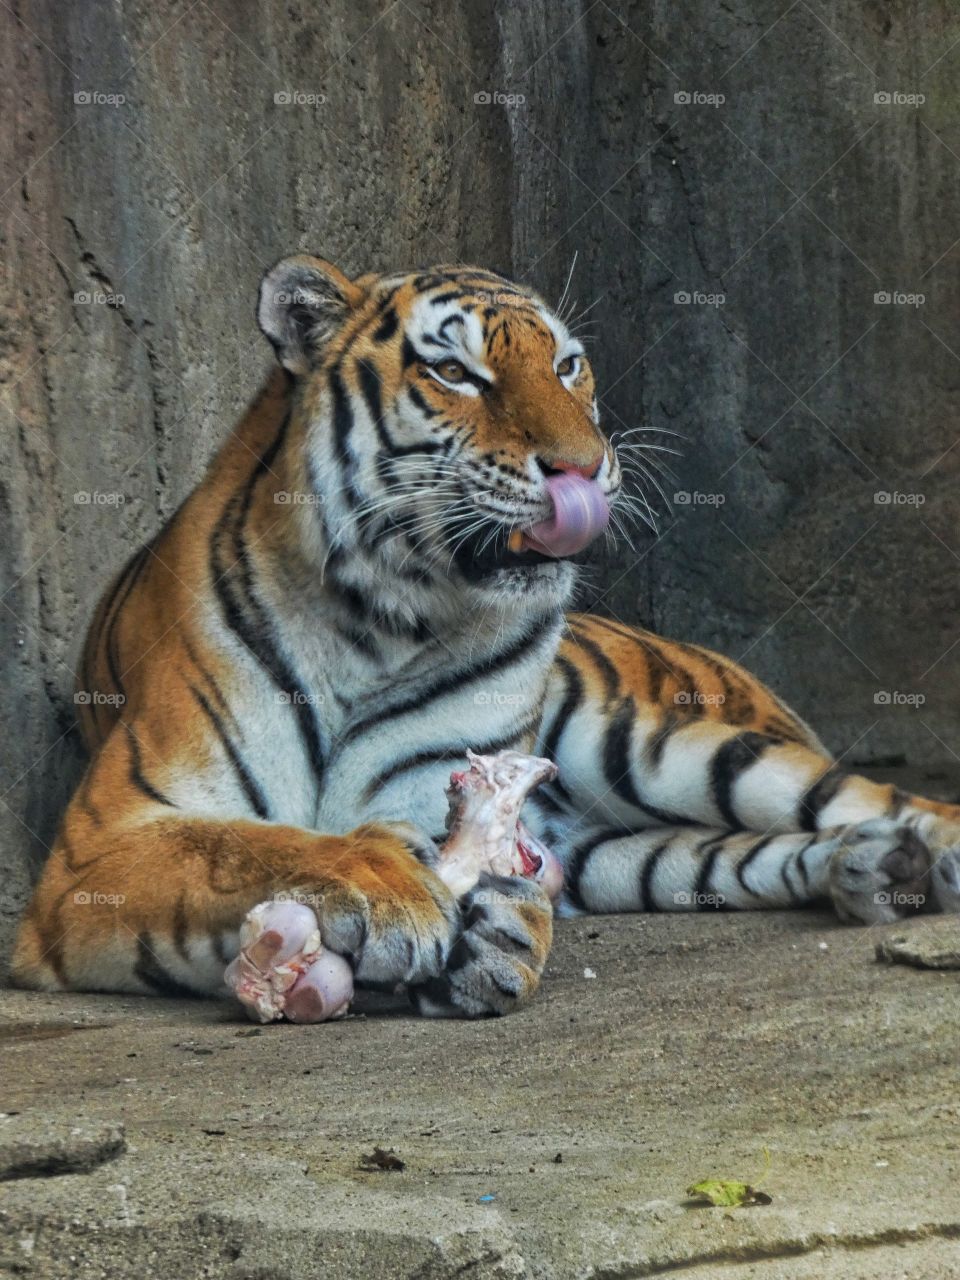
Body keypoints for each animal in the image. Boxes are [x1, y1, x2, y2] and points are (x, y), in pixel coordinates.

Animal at [12, 253, 960, 1018]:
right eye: (455, 372)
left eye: (568, 365)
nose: (585, 467)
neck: (375, 621)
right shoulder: (98, 849)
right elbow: (246, 844)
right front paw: (387, 892)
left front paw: (496, 933)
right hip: (624, 851)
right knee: (732, 854)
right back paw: (878, 870)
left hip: (663, 748)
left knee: (883, 799)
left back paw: (924, 859)